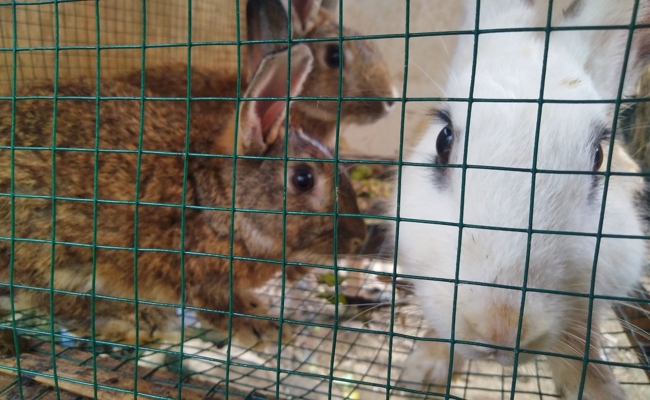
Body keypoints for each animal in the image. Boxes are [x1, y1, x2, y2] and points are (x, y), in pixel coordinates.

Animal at [0, 43, 367, 350]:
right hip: (50, 245)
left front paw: (257, 307)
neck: (215, 203)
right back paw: (139, 318)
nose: (358, 241)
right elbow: (218, 307)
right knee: (48, 297)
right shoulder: (195, 276)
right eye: (303, 179)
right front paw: (262, 328)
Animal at [390, 0, 650, 399]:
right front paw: (423, 371)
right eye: (443, 139)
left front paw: (599, 390)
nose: (501, 326)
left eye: (598, 157)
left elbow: (582, 347)